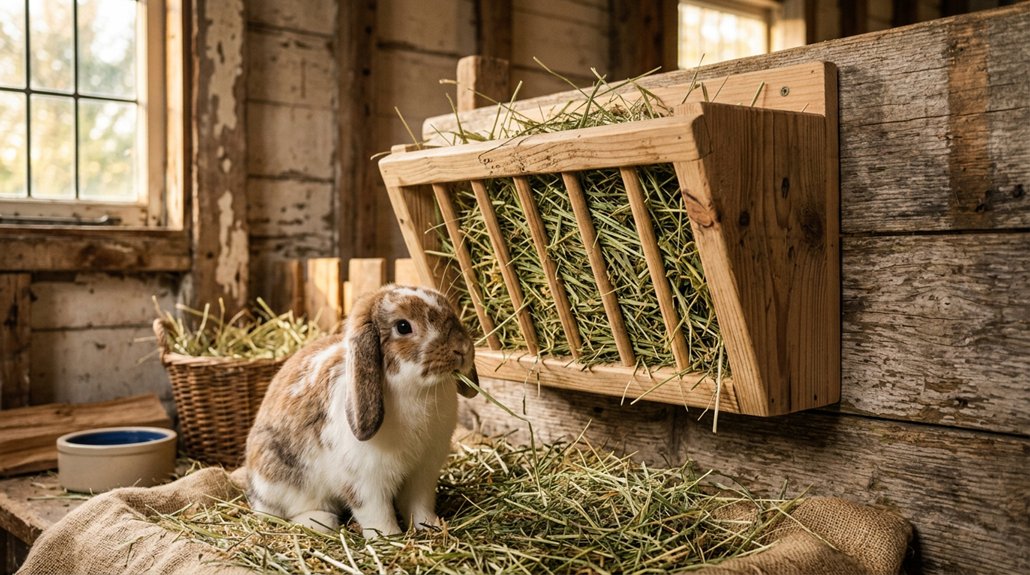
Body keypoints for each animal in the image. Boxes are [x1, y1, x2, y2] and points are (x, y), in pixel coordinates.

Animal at [244, 284, 479, 537]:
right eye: (403, 326)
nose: (462, 348)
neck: (420, 392)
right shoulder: (366, 482)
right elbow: (377, 515)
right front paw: (388, 537)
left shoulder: (423, 473)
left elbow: (419, 506)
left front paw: (432, 527)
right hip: (283, 482)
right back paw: (319, 521)